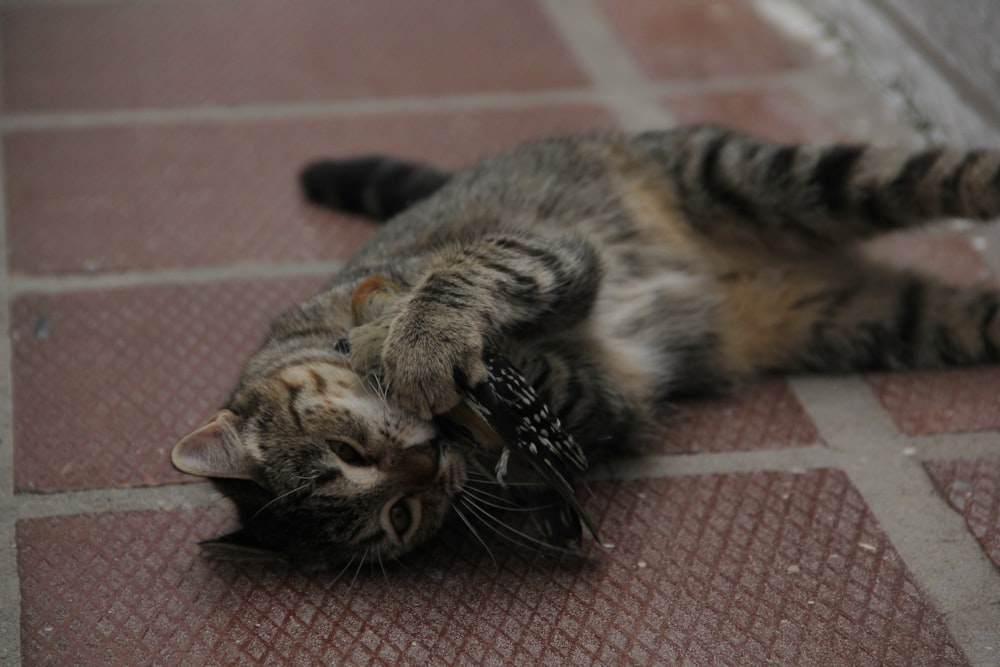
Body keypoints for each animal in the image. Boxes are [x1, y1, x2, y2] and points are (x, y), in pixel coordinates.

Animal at [170, 125, 1000, 568]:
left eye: (347, 450)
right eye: (399, 518)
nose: (426, 460)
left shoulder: (547, 251)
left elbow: (460, 276)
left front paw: (415, 337)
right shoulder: (607, 398)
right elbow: (568, 394)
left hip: (760, 176)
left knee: (926, 174)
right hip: (864, 317)